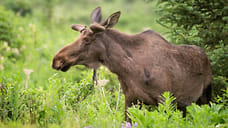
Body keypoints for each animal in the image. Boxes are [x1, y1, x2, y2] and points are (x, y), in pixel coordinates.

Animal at [51, 7, 212, 121]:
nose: (57, 60)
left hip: (204, 96)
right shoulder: (130, 100)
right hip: (184, 105)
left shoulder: (165, 100)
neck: (126, 70)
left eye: (86, 40)